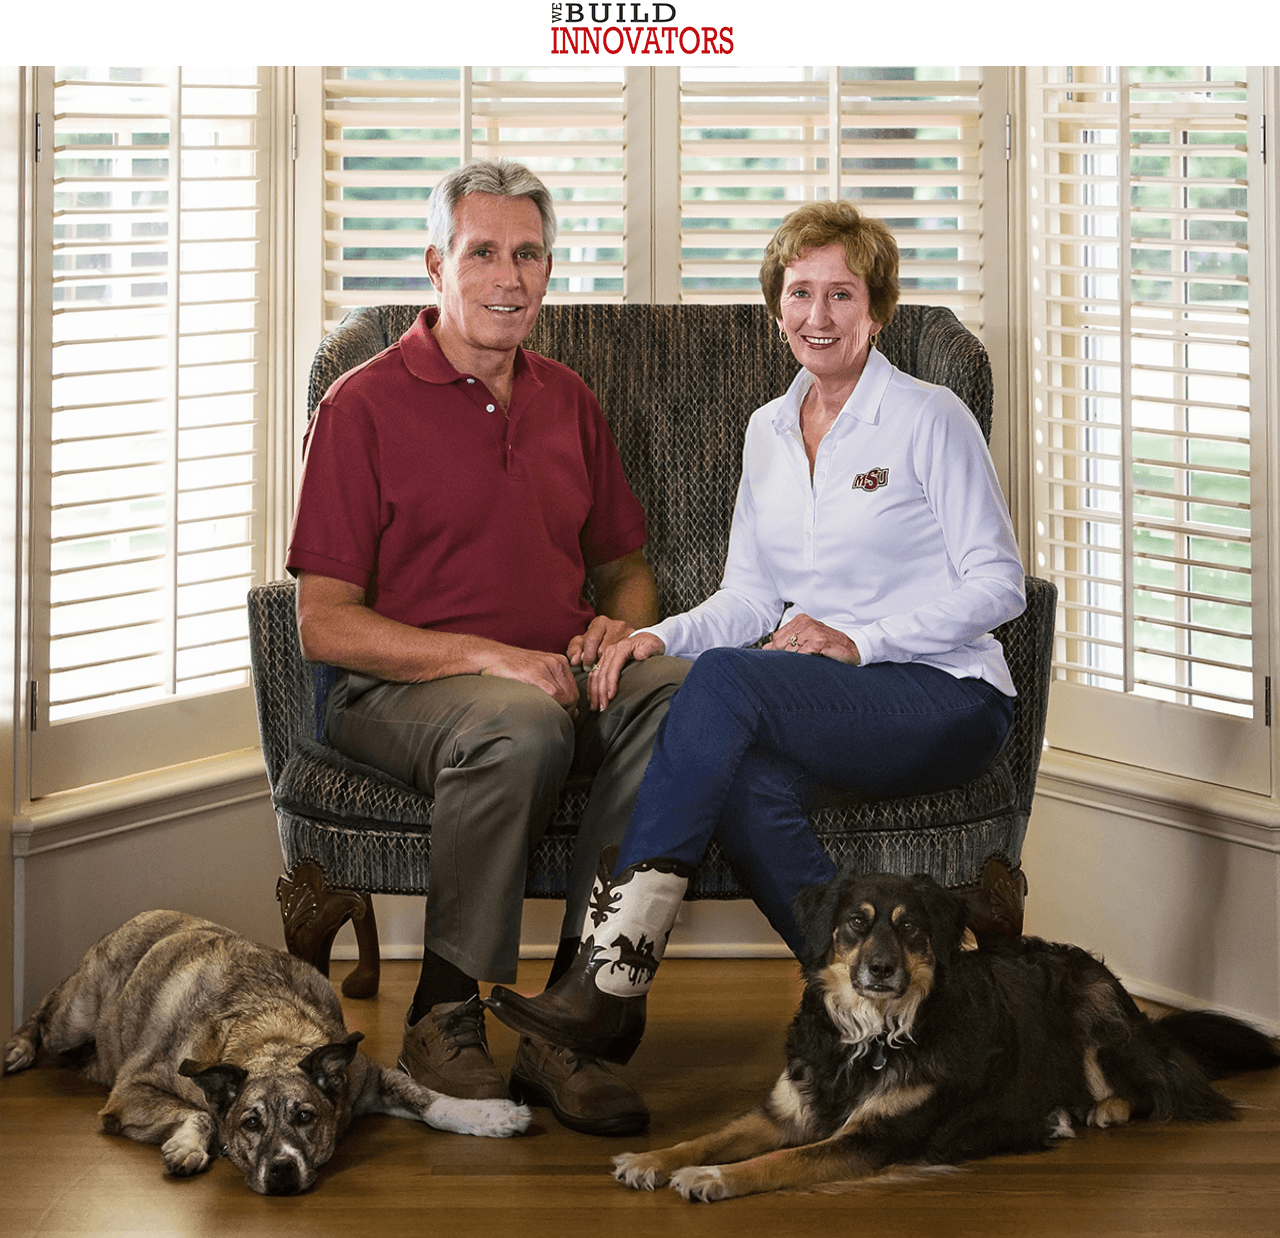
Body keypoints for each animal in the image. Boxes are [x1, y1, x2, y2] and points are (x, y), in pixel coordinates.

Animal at [1, 911, 529, 1193]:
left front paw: (493, 1116)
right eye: (250, 1123)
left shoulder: (367, 1079)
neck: (270, 1033)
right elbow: (204, 1112)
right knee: (45, 1010)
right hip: (74, 1017)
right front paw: (189, 1145)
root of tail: (139, 916)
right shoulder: (133, 1090)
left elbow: (433, 1102)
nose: (281, 1171)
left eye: (306, 1116)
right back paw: (18, 1047)